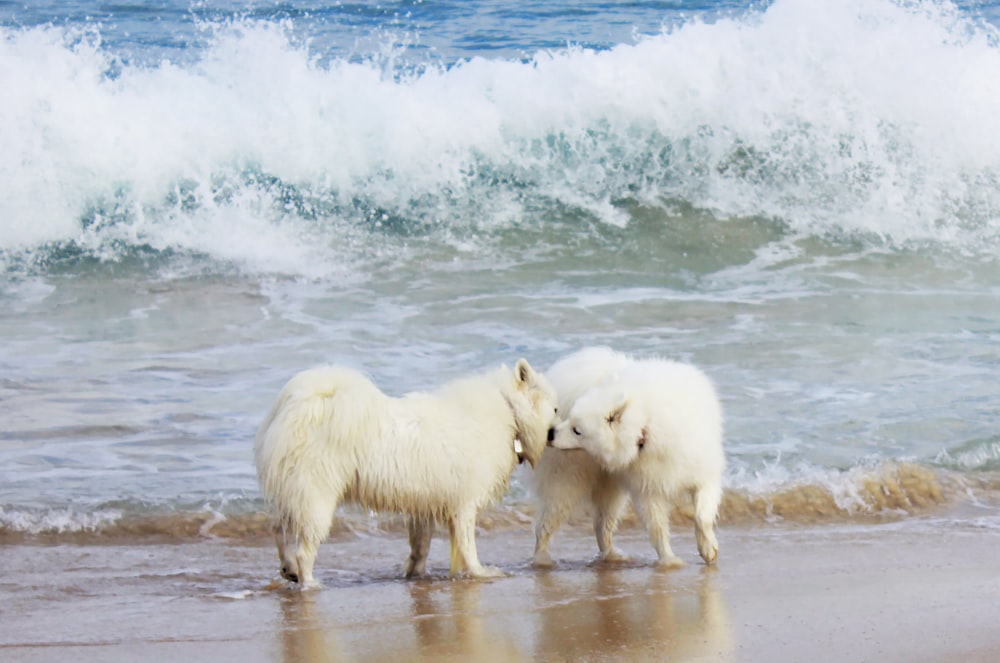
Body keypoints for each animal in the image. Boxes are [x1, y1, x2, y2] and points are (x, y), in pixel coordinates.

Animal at [254, 360, 560, 588]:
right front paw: (481, 572)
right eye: (556, 409)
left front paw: (415, 575)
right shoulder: (464, 504)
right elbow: (468, 547)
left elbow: (420, 547)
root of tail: (299, 405)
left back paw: (289, 570)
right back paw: (309, 583)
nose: (559, 431)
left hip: (294, 491)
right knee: (304, 550)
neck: (508, 409)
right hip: (317, 495)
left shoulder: (424, 505)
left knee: (279, 529)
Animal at [536, 348, 724, 572]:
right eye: (570, 419)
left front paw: (707, 548)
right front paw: (669, 560)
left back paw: (610, 556)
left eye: (577, 430)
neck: (645, 426)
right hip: (566, 484)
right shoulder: (646, 489)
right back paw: (542, 559)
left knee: (601, 525)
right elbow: (657, 528)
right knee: (545, 526)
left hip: (609, 489)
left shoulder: (702, 475)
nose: (550, 433)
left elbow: (702, 516)